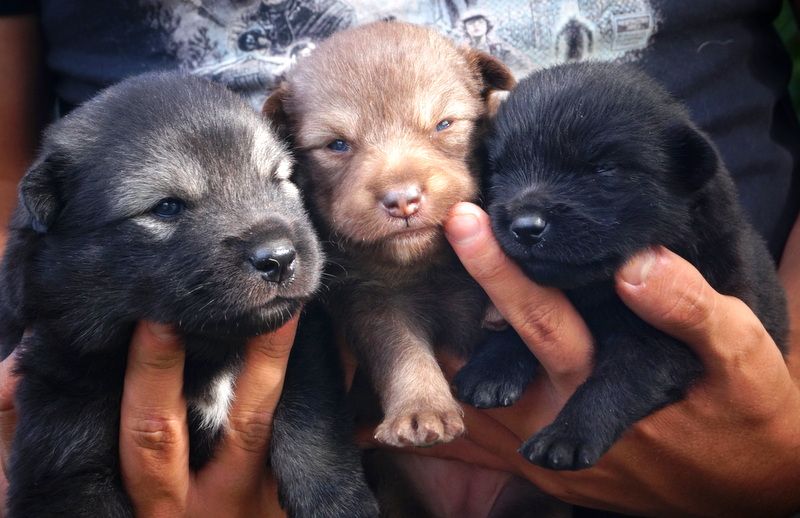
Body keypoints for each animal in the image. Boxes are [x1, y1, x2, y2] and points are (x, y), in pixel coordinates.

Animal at [0, 73, 378, 518]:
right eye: (167, 207)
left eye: (276, 179)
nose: (280, 258)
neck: (209, 351)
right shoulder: (61, 403)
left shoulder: (304, 340)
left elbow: (311, 415)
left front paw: (338, 499)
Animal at [262, 22, 512, 448]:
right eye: (337, 144)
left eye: (444, 124)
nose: (403, 201)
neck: (425, 265)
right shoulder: (372, 299)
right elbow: (402, 351)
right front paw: (420, 410)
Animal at [456, 61, 788, 472]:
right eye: (500, 169)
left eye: (604, 169)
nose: (525, 226)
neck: (595, 290)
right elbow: (517, 326)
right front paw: (491, 367)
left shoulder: (672, 338)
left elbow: (622, 377)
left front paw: (568, 433)